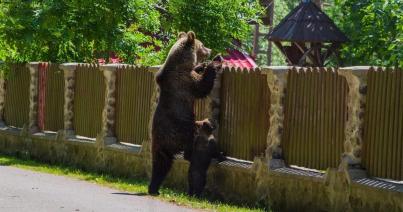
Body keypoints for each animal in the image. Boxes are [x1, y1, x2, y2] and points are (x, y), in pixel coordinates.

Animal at [149, 31, 223, 195]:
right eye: (202, 44)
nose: (210, 50)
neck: (182, 63)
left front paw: (202, 65)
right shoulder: (184, 81)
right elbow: (202, 86)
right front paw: (214, 62)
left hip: (160, 146)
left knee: (161, 164)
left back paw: (154, 188)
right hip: (184, 129)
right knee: (191, 144)